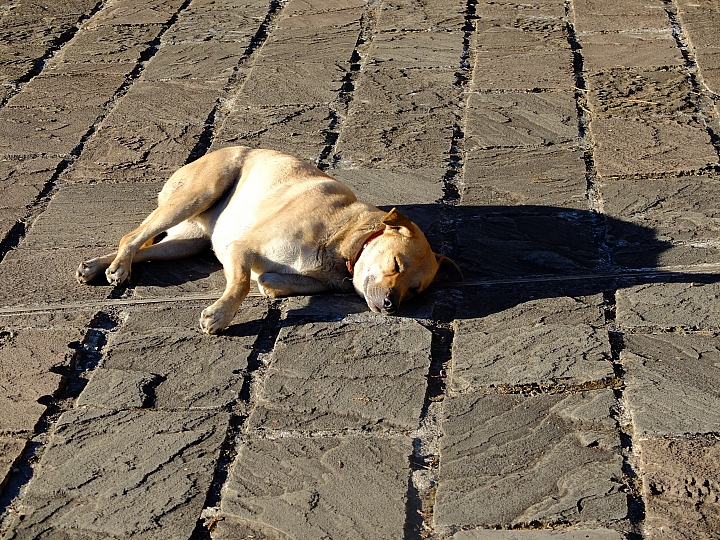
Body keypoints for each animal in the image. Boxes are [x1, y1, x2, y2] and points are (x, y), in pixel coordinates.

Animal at [77, 147, 462, 334]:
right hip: (198, 193)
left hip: (187, 241)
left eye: (416, 290)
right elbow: (241, 284)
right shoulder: (242, 248)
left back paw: (97, 266)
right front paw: (220, 315)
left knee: (145, 247)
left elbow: (266, 282)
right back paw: (118, 268)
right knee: (133, 236)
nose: (392, 306)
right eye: (396, 263)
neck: (346, 241)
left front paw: (269, 284)